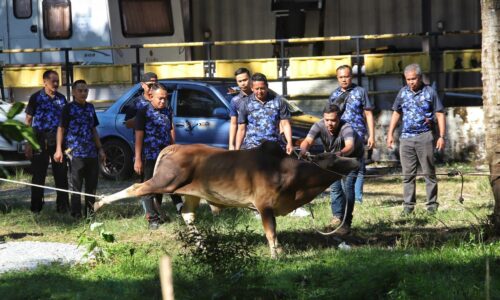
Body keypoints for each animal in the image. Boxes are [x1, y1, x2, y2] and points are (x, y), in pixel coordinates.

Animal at [94, 141, 360, 258]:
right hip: (164, 181)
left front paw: (280, 250)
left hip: (192, 193)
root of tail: (174, 147)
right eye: (333, 158)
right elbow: (270, 231)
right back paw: (98, 202)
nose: (356, 159)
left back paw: (202, 245)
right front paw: (275, 254)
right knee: (136, 187)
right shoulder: (264, 205)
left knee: (188, 214)